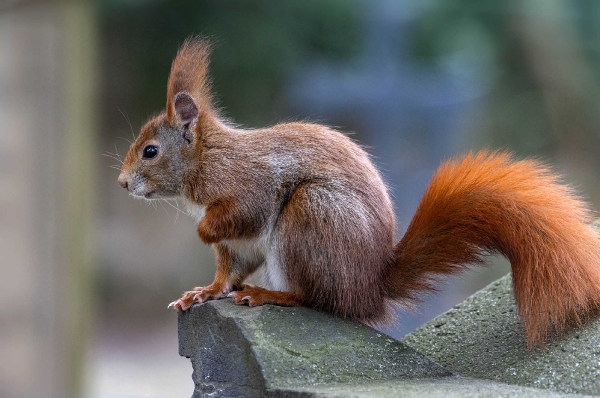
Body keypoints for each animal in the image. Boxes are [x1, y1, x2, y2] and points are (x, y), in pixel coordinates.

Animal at [118, 38, 600, 348]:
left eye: (150, 151)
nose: (122, 183)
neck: (205, 161)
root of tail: (369, 287)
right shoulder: (237, 247)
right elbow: (226, 272)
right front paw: (202, 292)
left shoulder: (248, 185)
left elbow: (242, 213)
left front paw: (201, 231)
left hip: (309, 215)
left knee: (318, 299)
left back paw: (272, 294)